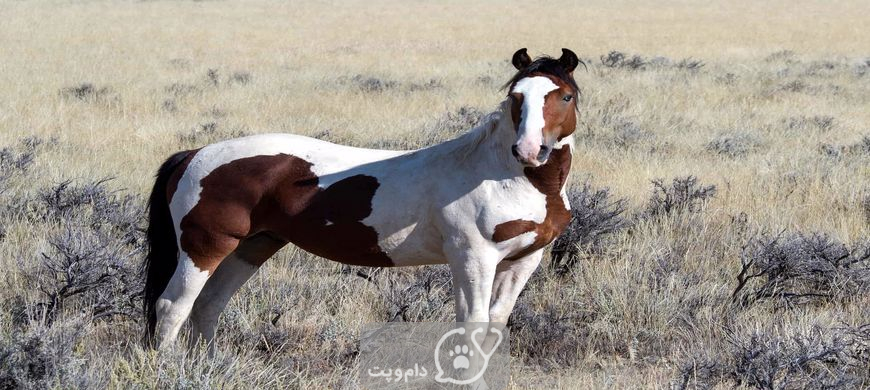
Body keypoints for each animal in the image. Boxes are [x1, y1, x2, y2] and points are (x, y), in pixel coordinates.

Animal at [143, 47, 584, 348]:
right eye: (515, 97)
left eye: (564, 96)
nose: (529, 150)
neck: (501, 176)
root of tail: (194, 154)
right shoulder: (473, 258)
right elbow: (471, 326)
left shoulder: (523, 260)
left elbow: (495, 324)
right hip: (204, 248)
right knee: (172, 307)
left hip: (252, 247)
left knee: (207, 307)